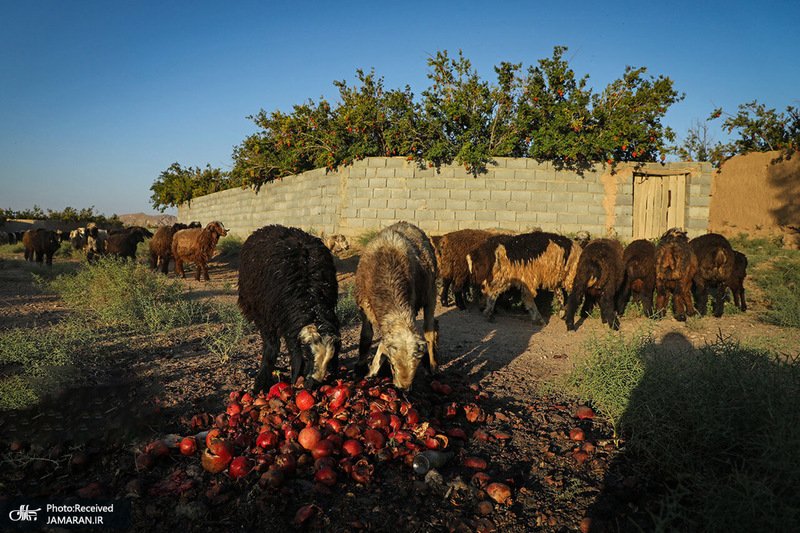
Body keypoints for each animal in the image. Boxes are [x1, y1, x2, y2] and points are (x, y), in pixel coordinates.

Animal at [236, 222, 340, 392]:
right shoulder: (267, 318)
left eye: (330, 359)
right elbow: (271, 347)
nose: (312, 385)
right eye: (305, 356)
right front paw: (261, 382)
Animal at [356, 220, 440, 390]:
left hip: (431, 293)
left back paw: (433, 364)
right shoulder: (364, 308)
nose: (403, 389)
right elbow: (366, 337)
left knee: (428, 331)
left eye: (415, 369)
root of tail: (407, 223)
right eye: (393, 365)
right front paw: (361, 366)